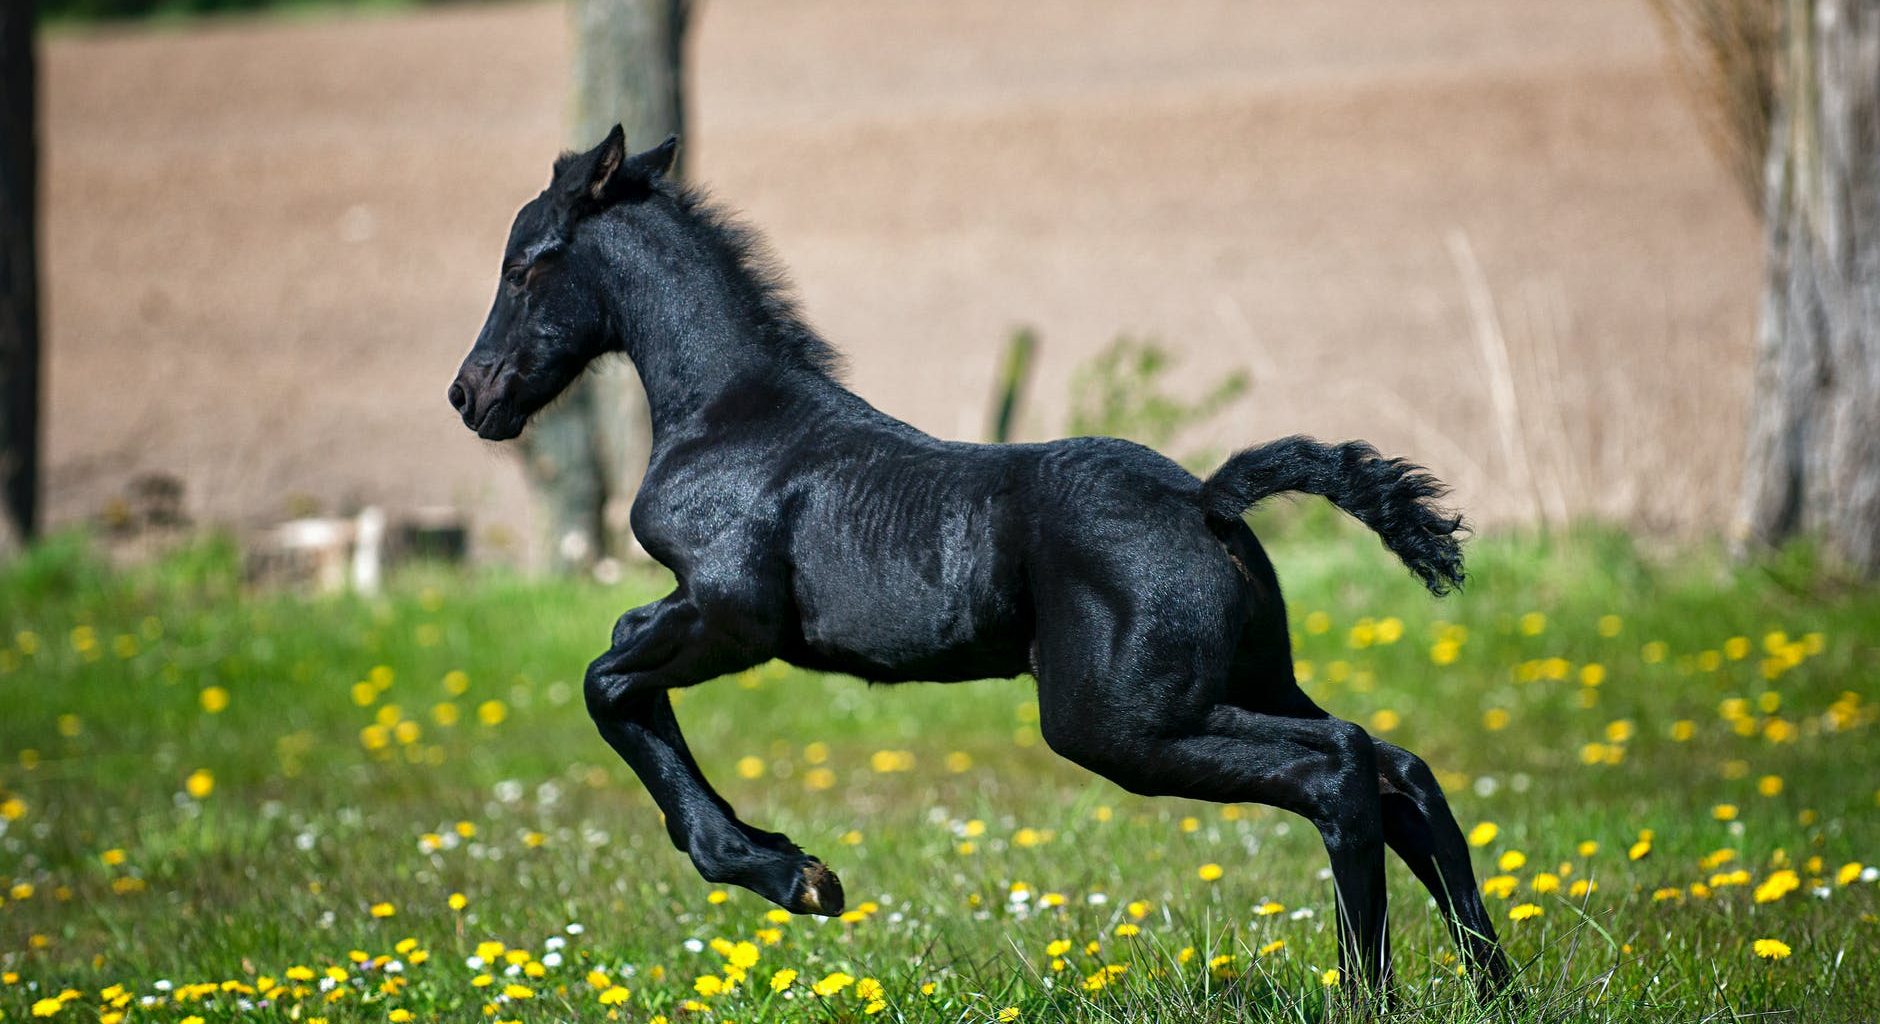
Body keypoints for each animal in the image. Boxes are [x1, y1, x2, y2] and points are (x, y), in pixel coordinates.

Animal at [451, 127, 1511, 999]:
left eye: (521, 267)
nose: (470, 396)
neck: (731, 415)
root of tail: (1207, 499)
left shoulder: (731, 615)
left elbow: (607, 679)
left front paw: (792, 875)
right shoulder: (700, 614)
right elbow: (623, 669)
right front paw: (788, 864)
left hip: (1121, 723)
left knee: (1341, 768)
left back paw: (1369, 992)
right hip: (1241, 683)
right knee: (1400, 768)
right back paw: (1492, 986)